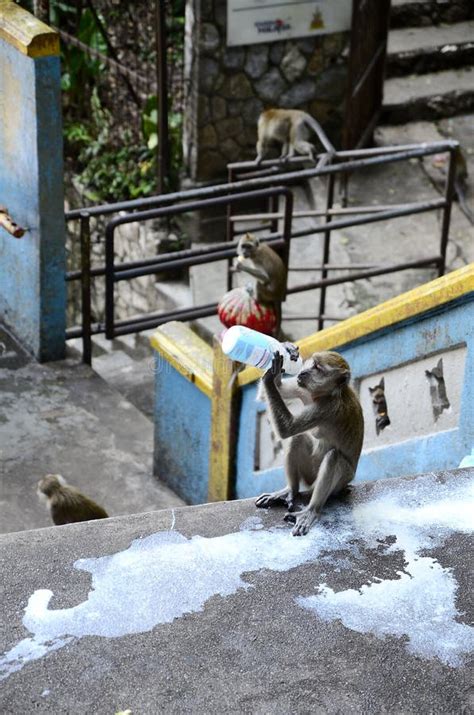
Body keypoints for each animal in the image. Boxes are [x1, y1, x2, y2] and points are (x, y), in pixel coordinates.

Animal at [256, 352, 362, 536]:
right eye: (311, 363)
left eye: (317, 368)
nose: (303, 372)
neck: (325, 394)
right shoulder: (302, 388)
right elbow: (273, 394)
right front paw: (275, 371)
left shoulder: (328, 408)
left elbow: (288, 428)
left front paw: (270, 377)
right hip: (309, 474)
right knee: (297, 438)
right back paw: (290, 490)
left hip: (341, 481)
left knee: (333, 457)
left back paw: (312, 510)